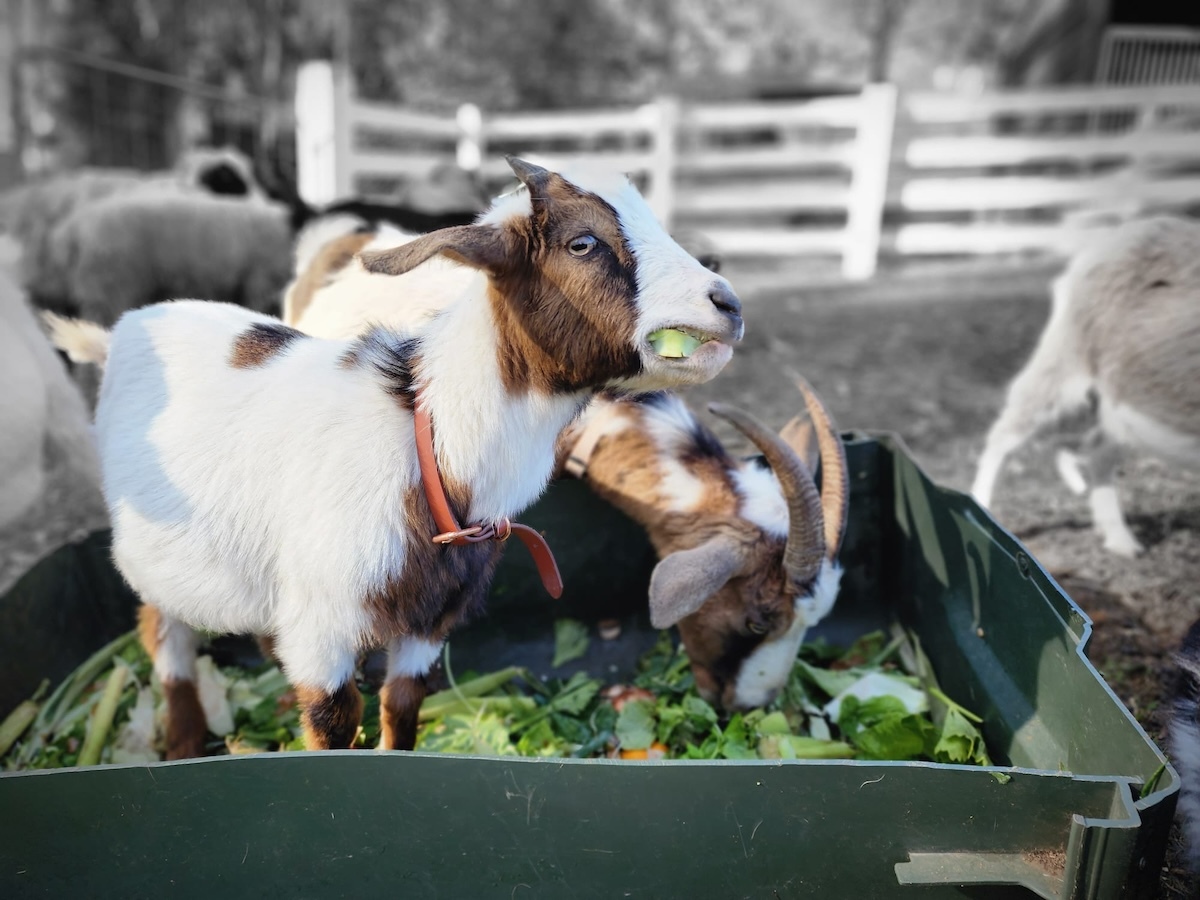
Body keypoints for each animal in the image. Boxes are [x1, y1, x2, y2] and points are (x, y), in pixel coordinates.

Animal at [47, 156, 745, 759]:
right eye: (582, 243)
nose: (729, 304)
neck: (425, 443)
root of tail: (118, 333)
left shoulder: (426, 624)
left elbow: (402, 711)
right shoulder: (323, 630)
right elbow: (334, 729)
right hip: (159, 560)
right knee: (164, 636)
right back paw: (185, 740)